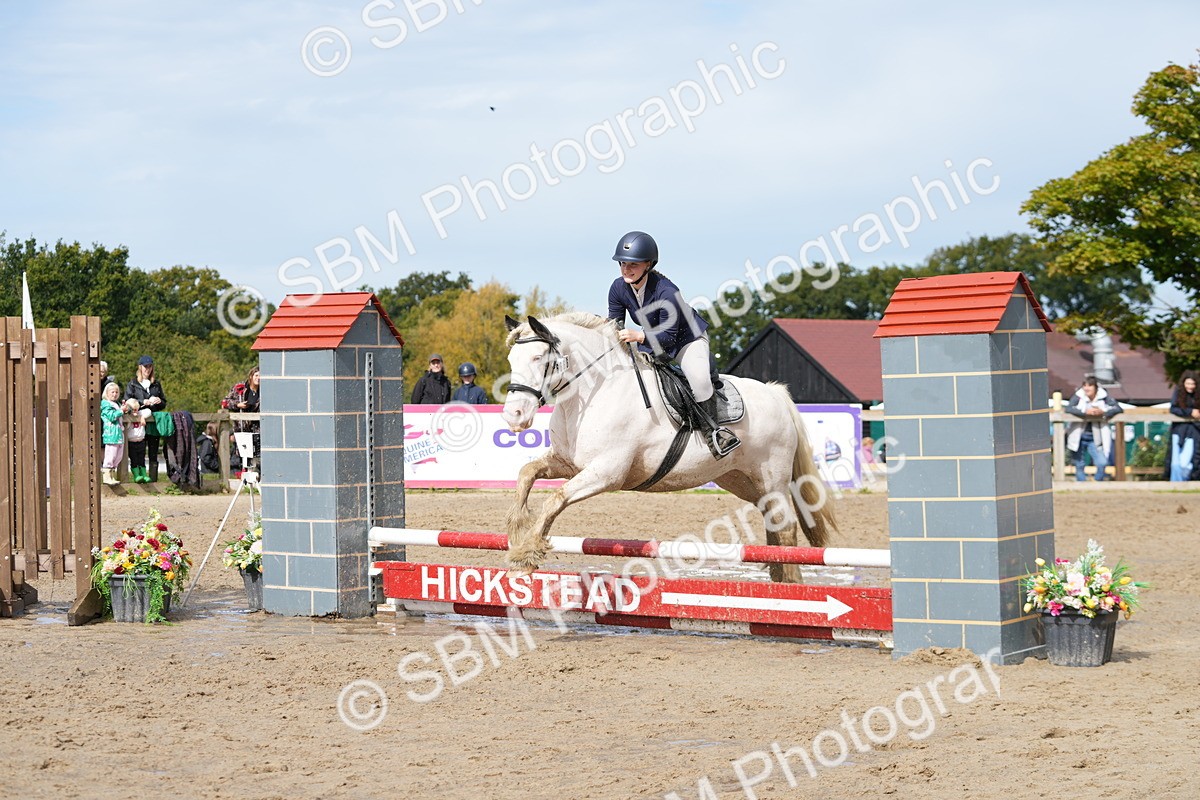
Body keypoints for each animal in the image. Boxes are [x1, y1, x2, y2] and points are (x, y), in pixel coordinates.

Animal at [500, 313, 836, 583]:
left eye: (539, 359)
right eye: (511, 361)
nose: (514, 416)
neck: (594, 393)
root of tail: (775, 392)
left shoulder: (606, 473)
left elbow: (554, 500)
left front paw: (526, 554)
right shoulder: (567, 463)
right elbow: (526, 473)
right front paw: (517, 531)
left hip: (772, 477)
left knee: (786, 527)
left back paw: (791, 586)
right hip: (741, 480)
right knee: (772, 524)